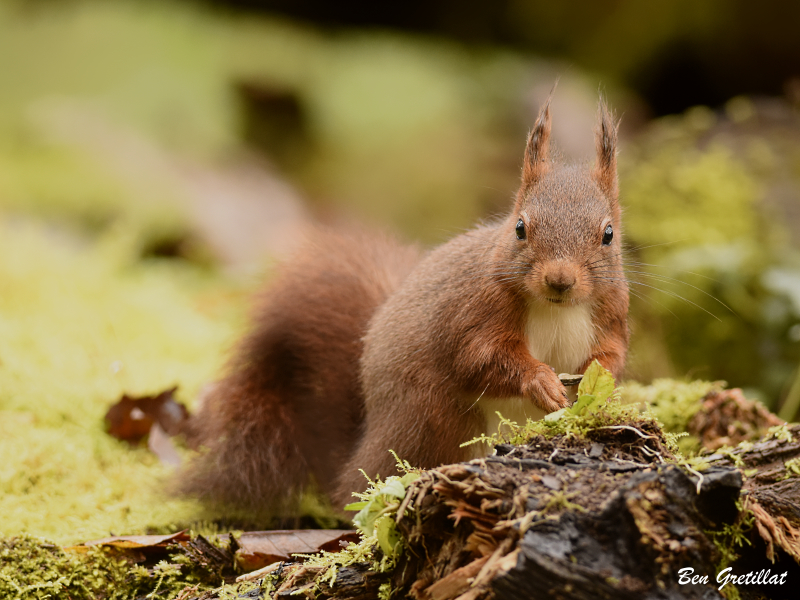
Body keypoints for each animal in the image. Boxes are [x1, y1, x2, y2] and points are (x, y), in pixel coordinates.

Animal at [180, 97, 632, 510]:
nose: (560, 279)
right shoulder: (475, 311)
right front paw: (541, 381)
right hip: (433, 416)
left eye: (608, 235)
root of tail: (363, 443)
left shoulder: (611, 313)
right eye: (520, 227)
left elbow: (611, 355)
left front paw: (596, 381)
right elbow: (480, 358)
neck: (556, 309)